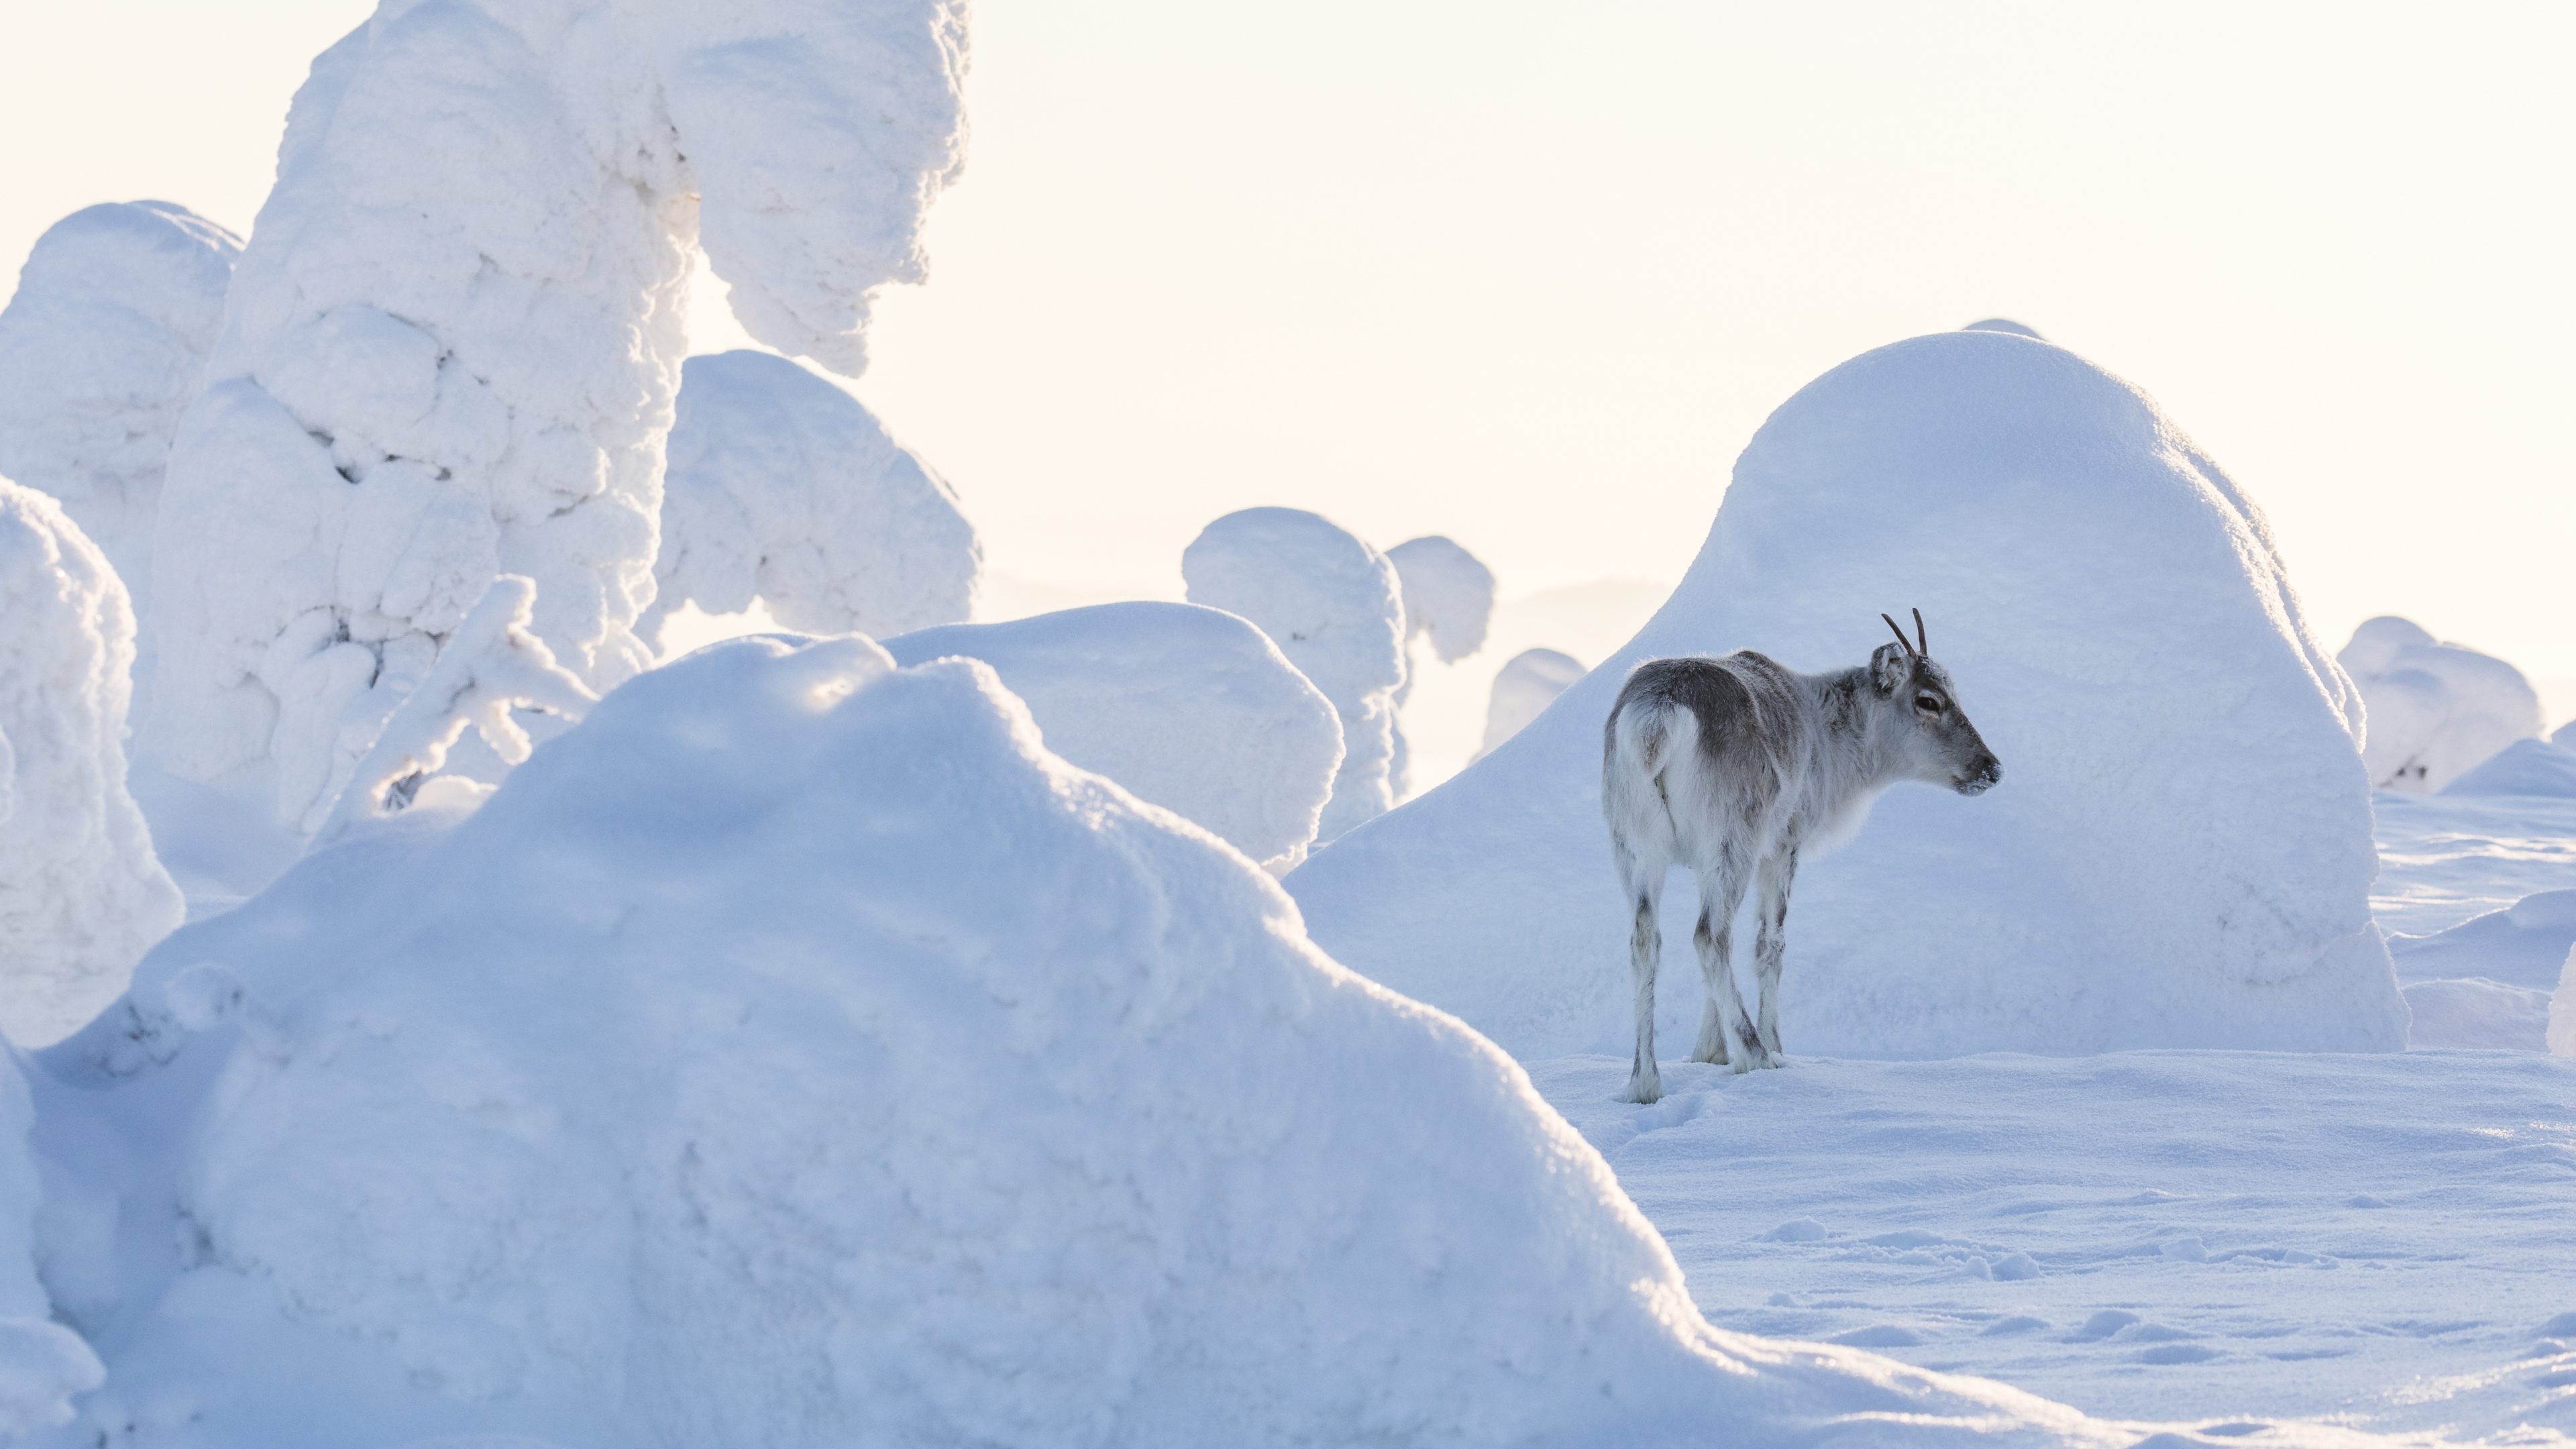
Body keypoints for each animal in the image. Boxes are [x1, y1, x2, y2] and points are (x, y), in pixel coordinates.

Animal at [1597, 606, 1998, 1093]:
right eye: (1928, 700)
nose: (1991, 767)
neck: (1830, 738)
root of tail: (1658, 716)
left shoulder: (1698, 862)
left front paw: (1709, 1052)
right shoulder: (1784, 844)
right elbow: (1771, 944)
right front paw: (1769, 1046)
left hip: (1634, 846)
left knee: (1648, 940)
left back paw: (1644, 1083)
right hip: (1734, 838)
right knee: (1709, 935)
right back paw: (1758, 1055)